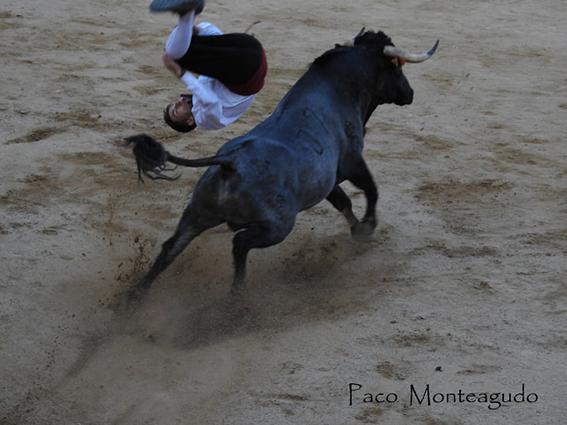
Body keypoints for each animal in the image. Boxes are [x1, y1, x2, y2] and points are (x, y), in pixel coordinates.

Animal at [127, 29, 440, 298]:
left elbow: (344, 202)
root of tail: (229, 162)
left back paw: (132, 301)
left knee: (171, 248)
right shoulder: (352, 161)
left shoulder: (327, 181)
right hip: (277, 226)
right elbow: (371, 190)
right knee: (239, 244)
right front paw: (367, 228)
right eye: (396, 67)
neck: (337, 88)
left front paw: (357, 230)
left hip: (197, 213)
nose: (410, 93)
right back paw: (235, 298)